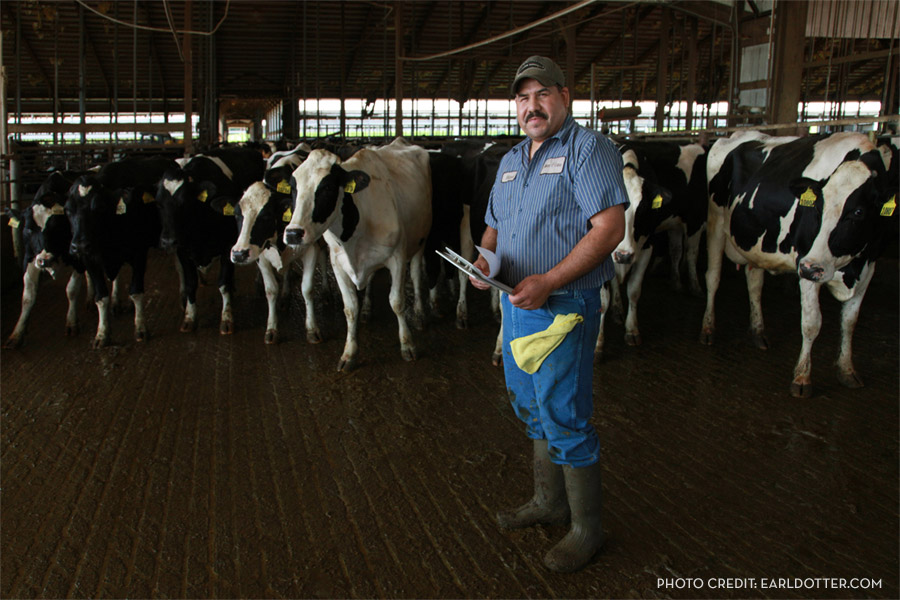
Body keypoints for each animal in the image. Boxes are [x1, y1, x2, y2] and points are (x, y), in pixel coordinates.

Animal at [156, 145, 264, 332]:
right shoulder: (183, 250)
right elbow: (191, 283)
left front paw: (227, 318)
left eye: (184, 202)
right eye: (159, 203)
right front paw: (189, 317)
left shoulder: (228, 245)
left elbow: (223, 283)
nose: (168, 241)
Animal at [232, 144, 326, 342]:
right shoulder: (261, 256)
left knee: (323, 252)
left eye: (266, 216)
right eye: (237, 215)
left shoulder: (310, 249)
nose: (239, 254)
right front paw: (272, 329)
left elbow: (307, 289)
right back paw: (284, 295)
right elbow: (271, 290)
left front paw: (312, 329)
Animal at [284, 138, 432, 370]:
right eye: (293, 188)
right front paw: (349, 353)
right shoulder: (338, 263)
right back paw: (367, 310)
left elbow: (397, 302)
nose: (293, 233)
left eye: (327, 187)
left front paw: (407, 345)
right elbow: (350, 307)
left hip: (420, 239)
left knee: (416, 275)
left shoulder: (397, 257)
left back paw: (419, 314)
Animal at [704, 129, 892, 396]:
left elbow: (849, 321)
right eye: (816, 208)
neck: (850, 267)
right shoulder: (807, 265)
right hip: (716, 223)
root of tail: (738, 134)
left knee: (754, 283)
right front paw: (802, 377)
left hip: (756, 241)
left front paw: (847, 370)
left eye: (858, 212)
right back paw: (708, 329)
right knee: (713, 277)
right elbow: (812, 323)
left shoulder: (868, 267)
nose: (809, 268)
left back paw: (758, 331)